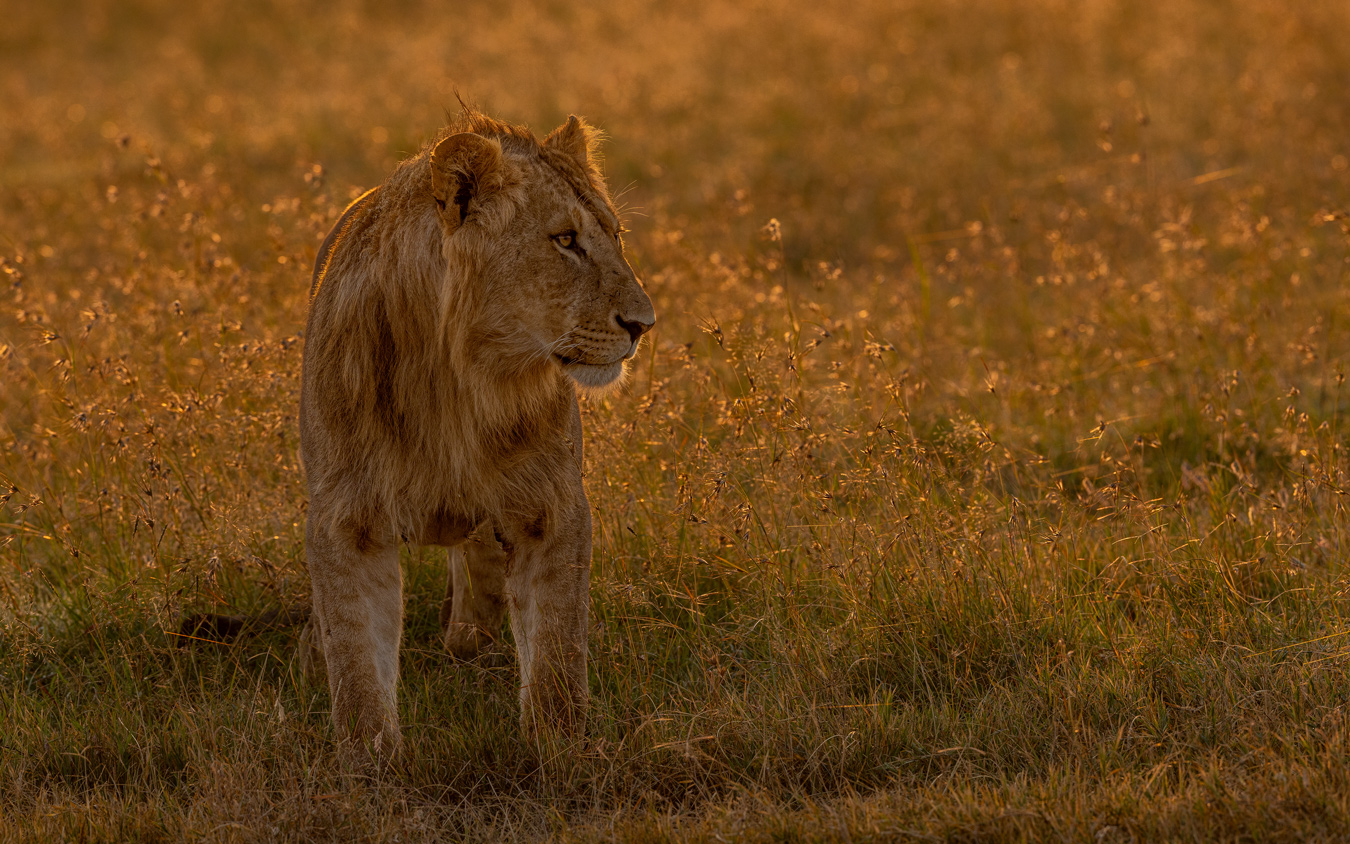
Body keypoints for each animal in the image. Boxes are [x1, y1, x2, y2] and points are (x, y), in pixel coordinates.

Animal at [299, 107, 655, 761]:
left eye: (614, 236)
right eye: (565, 240)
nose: (644, 324)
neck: (461, 383)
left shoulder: (552, 507)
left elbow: (557, 650)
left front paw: (560, 752)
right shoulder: (348, 518)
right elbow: (357, 659)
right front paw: (368, 764)